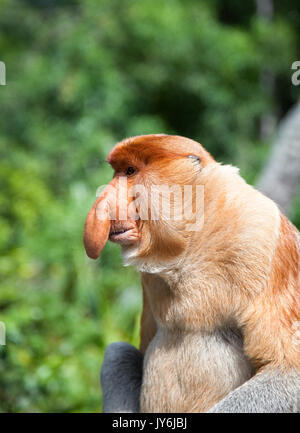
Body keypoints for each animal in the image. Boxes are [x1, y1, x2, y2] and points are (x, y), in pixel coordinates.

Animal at [82, 133, 300, 410]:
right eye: (117, 172)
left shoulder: (262, 238)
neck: (190, 241)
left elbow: (287, 370)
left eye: (130, 171)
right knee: (117, 352)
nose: (103, 200)